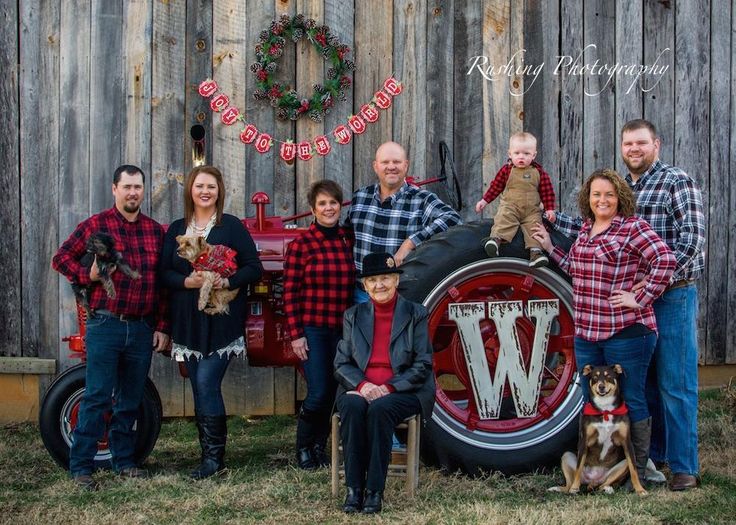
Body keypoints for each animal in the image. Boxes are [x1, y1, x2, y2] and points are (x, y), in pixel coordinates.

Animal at [548, 364, 648, 496]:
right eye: (595, 377)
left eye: (609, 376)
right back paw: (564, 488)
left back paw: (606, 488)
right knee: (569, 484)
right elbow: (579, 467)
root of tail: (593, 478)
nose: (601, 386)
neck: (605, 409)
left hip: (620, 466)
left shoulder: (627, 442)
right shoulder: (584, 441)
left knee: (602, 485)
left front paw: (640, 490)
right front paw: (575, 488)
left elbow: (634, 470)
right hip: (566, 455)